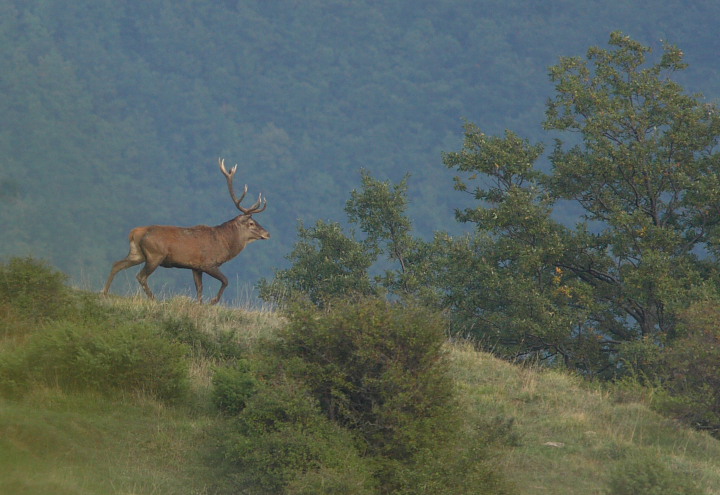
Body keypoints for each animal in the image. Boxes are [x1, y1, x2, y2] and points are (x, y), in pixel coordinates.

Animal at [101, 161, 270, 304]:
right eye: (251, 223)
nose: (267, 233)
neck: (225, 245)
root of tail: (135, 232)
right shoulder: (208, 263)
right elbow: (225, 280)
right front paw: (212, 302)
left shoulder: (196, 267)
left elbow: (199, 289)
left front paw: (200, 305)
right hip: (155, 255)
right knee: (140, 276)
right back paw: (154, 299)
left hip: (137, 253)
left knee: (117, 264)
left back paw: (105, 292)